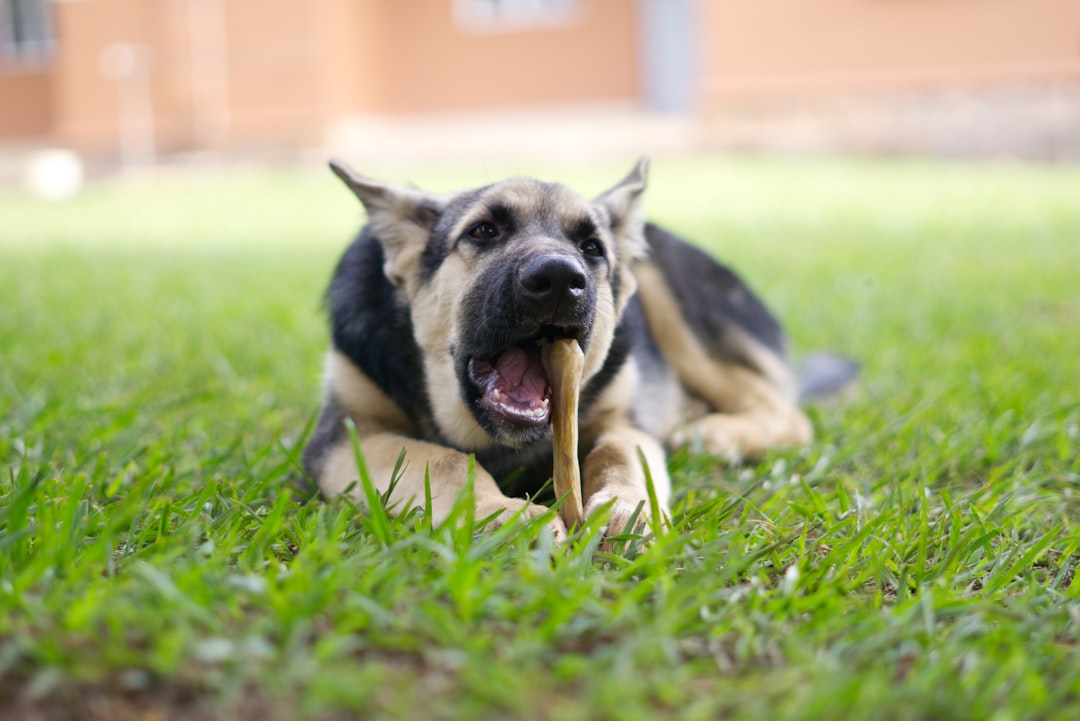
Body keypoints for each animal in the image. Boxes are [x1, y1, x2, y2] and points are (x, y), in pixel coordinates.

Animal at [302, 157, 842, 539]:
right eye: (483, 230)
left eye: (592, 248)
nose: (560, 279)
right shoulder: (349, 433)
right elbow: (442, 459)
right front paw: (504, 516)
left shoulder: (623, 419)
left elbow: (622, 453)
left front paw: (627, 508)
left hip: (671, 297)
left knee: (788, 414)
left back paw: (712, 434)